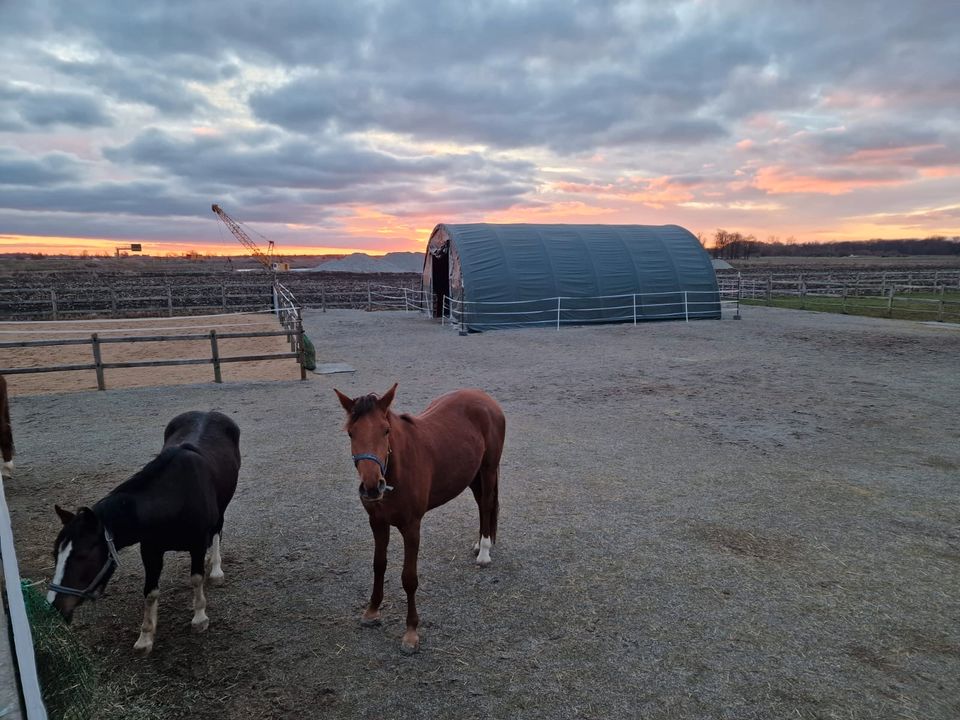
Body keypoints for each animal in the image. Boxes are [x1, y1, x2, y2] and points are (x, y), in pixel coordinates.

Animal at [334, 382, 506, 652]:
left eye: (385, 431)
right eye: (351, 433)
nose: (371, 487)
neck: (397, 469)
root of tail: (484, 398)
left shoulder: (411, 527)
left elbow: (409, 578)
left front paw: (411, 632)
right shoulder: (377, 523)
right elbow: (378, 565)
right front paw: (372, 611)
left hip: (488, 469)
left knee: (488, 504)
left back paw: (485, 552)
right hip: (471, 472)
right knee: (481, 505)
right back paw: (479, 544)